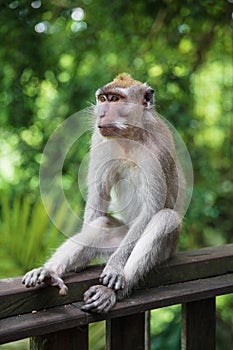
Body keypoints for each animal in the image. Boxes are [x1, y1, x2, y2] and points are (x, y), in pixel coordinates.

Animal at [22, 72, 186, 314]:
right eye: (103, 98)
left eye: (115, 99)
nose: (102, 112)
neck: (131, 135)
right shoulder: (99, 141)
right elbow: (97, 203)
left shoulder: (158, 152)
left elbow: (152, 209)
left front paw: (116, 268)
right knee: (102, 224)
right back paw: (50, 271)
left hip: (167, 247)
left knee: (164, 219)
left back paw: (111, 290)